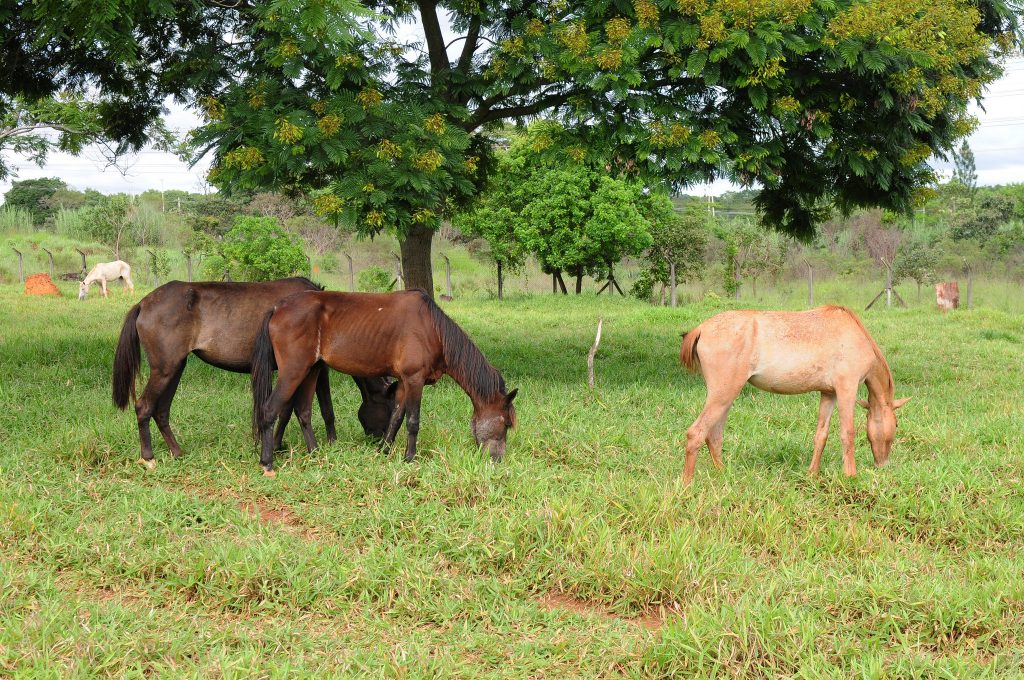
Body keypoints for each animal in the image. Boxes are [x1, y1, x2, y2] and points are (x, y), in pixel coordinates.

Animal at [113, 278, 395, 471]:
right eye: (391, 405)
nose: (380, 440)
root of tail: (143, 304)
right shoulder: (311, 368)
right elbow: (322, 407)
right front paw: (330, 442)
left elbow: (287, 410)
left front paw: (277, 445)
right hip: (165, 369)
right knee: (144, 406)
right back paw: (149, 457)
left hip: (174, 368)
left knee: (161, 410)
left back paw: (176, 451)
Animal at [251, 288, 516, 475]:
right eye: (505, 424)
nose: (497, 460)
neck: (433, 329)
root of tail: (277, 308)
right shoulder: (414, 380)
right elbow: (412, 421)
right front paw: (409, 458)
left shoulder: (403, 382)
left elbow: (396, 417)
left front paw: (384, 450)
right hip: (293, 372)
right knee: (269, 410)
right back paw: (267, 462)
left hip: (312, 370)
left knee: (303, 411)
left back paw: (315, 452)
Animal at [679, 305, 913, 485]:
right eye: (897, 424)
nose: (883, 465)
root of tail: (702, 328)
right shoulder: (846, 390)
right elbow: (848, 433)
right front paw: (850, 476)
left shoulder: (828, 394)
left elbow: (821, 435)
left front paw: (812, 474)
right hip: (723, 395)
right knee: (696, 433)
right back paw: (687, 484)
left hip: (725, 398)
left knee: (714, 435)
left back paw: (723, 474)